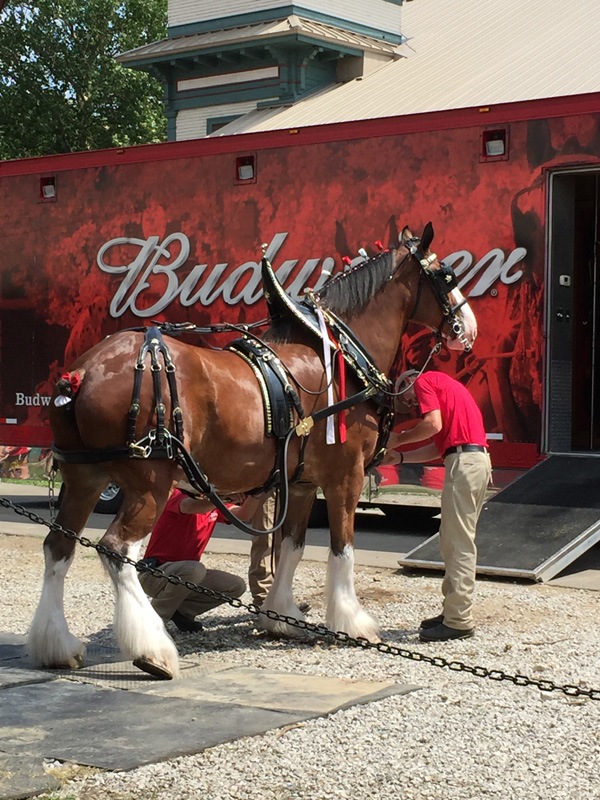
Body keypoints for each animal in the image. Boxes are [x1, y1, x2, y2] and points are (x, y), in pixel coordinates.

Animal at [28, 222, 478, 680]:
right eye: (448, 276)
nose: (468, 327)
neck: (339, 358)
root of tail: (82, 373)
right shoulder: (345, 476)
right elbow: (342, 549)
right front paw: (352, 623)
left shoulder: (302, 483)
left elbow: (293, 548)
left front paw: (282, 616)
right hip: (148, 484)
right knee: (117, 550)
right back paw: (153, 649)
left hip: (84, 480)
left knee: (58, 547)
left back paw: (57, 645)